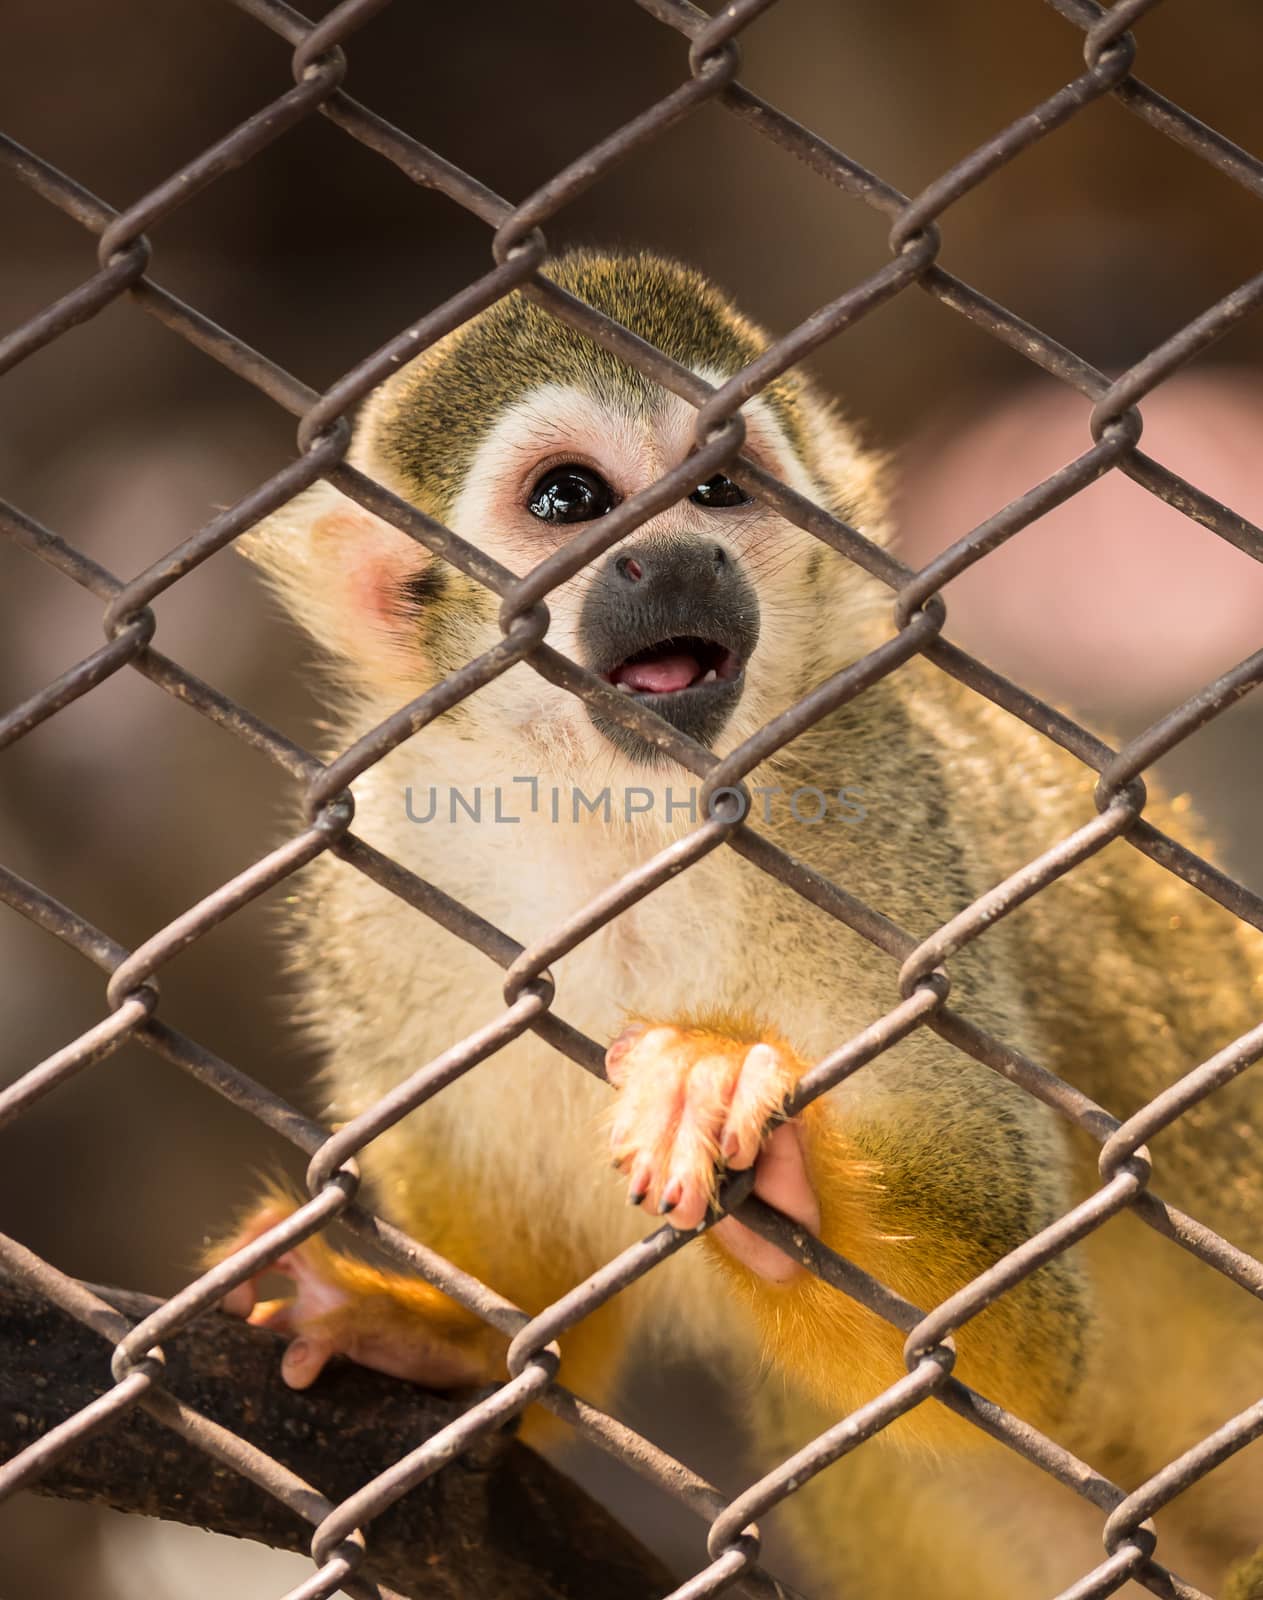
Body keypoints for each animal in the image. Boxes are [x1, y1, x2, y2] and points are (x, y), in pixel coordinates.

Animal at [211, 256, 1261, 1593]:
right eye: (568, 498)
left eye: (719, 486)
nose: (678, 559)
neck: (627, 818)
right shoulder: (390, 871)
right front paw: (438, 1336)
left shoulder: (887, 840)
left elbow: (1005, 1352)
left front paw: (743, 1131)